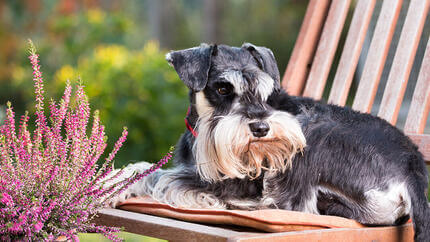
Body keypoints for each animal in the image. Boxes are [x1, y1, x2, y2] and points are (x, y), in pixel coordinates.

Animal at [109, 43, 430, 240]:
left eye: (266, 90)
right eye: (223, 88)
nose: (261, 127)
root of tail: (413, 167)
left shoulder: (233, 182)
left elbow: (160, 177)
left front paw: (115, 185)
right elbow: (150, 168)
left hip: (315, 138)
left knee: (297, 206)